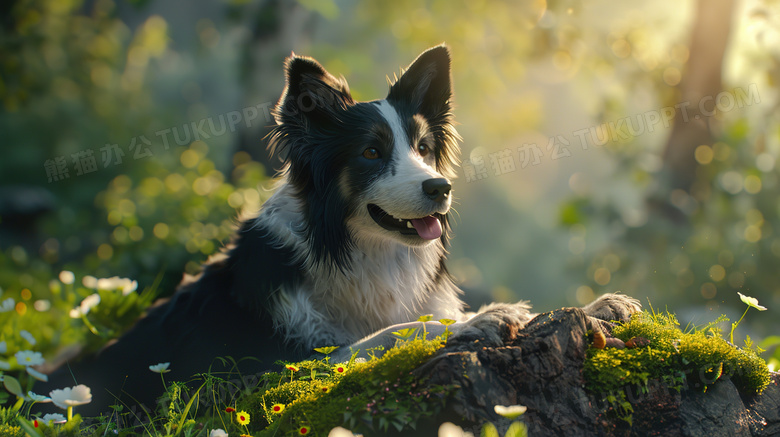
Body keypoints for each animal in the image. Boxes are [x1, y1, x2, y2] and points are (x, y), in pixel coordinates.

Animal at [44, 46, 640, 414]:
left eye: (424, 148)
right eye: (372, 153)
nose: (440, 188)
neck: (360, 250)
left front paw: (596, 304)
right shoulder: (260, 374)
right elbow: (390, 333)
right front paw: (482, 320)